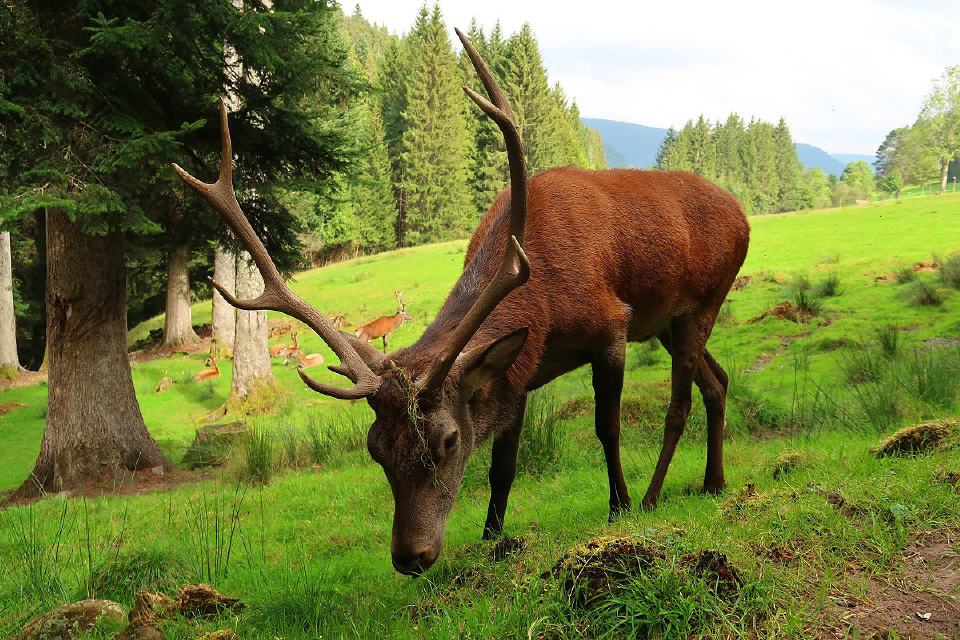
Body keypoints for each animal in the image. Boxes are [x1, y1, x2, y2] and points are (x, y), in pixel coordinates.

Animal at [172, 29, 749, 577]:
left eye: (448, 441)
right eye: (375, 449)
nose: (410, 556)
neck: (545, 303)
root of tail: (741, 213)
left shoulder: (611, 327)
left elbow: (606, 427)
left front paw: (618, 507)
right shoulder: (517, 369)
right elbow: (503, 463)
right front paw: (492, 537)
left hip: (704, 299)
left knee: (680, 404)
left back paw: (653, 495)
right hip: (669, 324)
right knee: (718, 381)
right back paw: (714, 482)